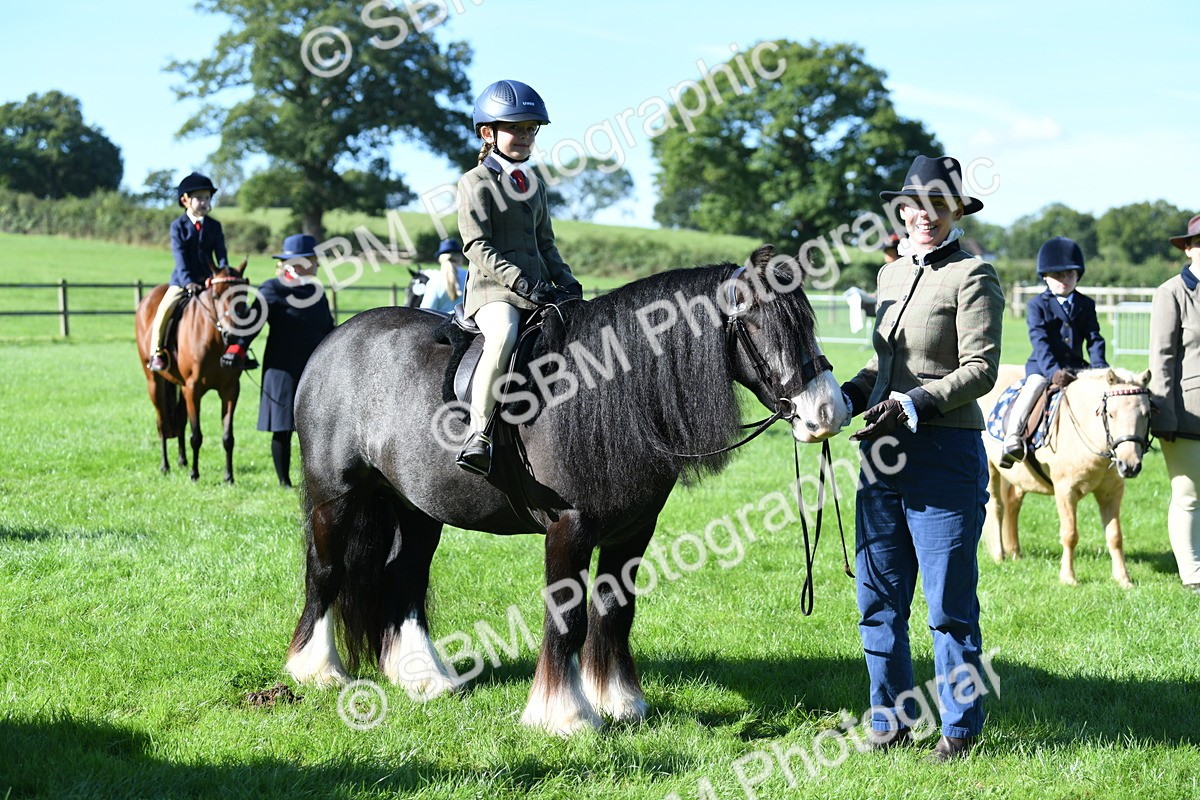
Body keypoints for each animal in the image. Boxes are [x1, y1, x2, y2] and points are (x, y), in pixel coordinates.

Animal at [134, 261, 253, 483]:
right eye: (216, 295)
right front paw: (195, 474)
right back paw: (165, 466)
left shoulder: (230, 390)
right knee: (162, 423)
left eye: (243, 294)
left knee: (180, 421)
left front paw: (229, 477)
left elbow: (228, 436)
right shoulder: (193, 389)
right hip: (155, 383)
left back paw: (182, 461)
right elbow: (196, 435)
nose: (232, 335)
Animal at [285, 245, 850, 735]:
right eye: (756, 323)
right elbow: (567, 616)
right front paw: (565, 715)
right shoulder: (569, 527)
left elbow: (614, 611)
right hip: (335, 495)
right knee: (325, 569)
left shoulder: (633, 532)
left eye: (807, 323)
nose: (829, 411)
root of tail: (337, 340)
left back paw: (426, 679)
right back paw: (316, 670)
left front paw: (620, 702)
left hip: (417, 508)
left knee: (404, 577)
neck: (604, 392)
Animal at [978, 364, 1152, 588]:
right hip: (990, 468)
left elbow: (1115, 536)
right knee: (997, 507)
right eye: (1111, 414)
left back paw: (1016, 553)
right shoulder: (1065, 491)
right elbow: (1070, 534)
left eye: (1146, 414)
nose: (1129, 465)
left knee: (1012, 504)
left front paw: (1123, 579)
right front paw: (1068, 577)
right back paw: (1000, 556)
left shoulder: (1111, 493)